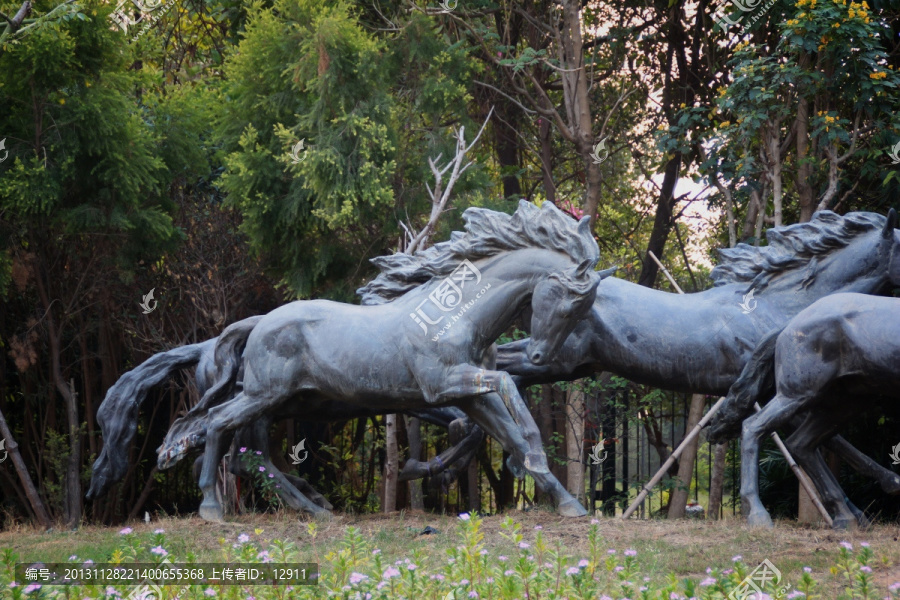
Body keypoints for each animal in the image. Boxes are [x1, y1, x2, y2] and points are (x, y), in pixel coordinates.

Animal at [160, 202, 612, 520]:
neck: (456, 313)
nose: (538, 355)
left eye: (582, 311)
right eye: (567, 303)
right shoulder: (444, 385)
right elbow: (509, 394)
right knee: (220, 427)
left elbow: (508, 433)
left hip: (275, 403)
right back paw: (214, 508)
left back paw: (314, 509)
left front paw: (569, 503)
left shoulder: (469, 395)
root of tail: (258, 323)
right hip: (264, 396)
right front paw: (531, 459)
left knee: (244, 450)